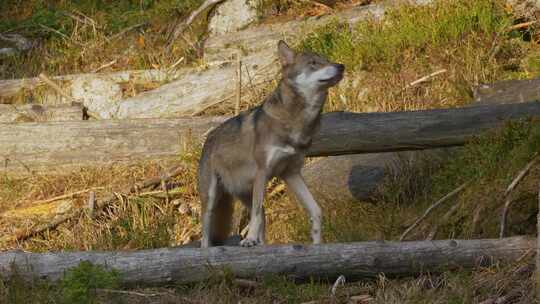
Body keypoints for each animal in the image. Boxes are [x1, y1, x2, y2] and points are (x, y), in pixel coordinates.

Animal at [196, 39, 344, 247]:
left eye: (327, 59)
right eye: (313, 63)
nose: (341, 66)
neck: (296, 122)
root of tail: (209, 137)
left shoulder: (291, 173)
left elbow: (316, 210)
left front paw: (316, 240)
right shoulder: (263, 172)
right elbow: (256, 215)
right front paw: (249, 240)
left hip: (246, 193)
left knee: (262, 216)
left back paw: (262, 245)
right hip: (211, 199)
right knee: (206, 235)